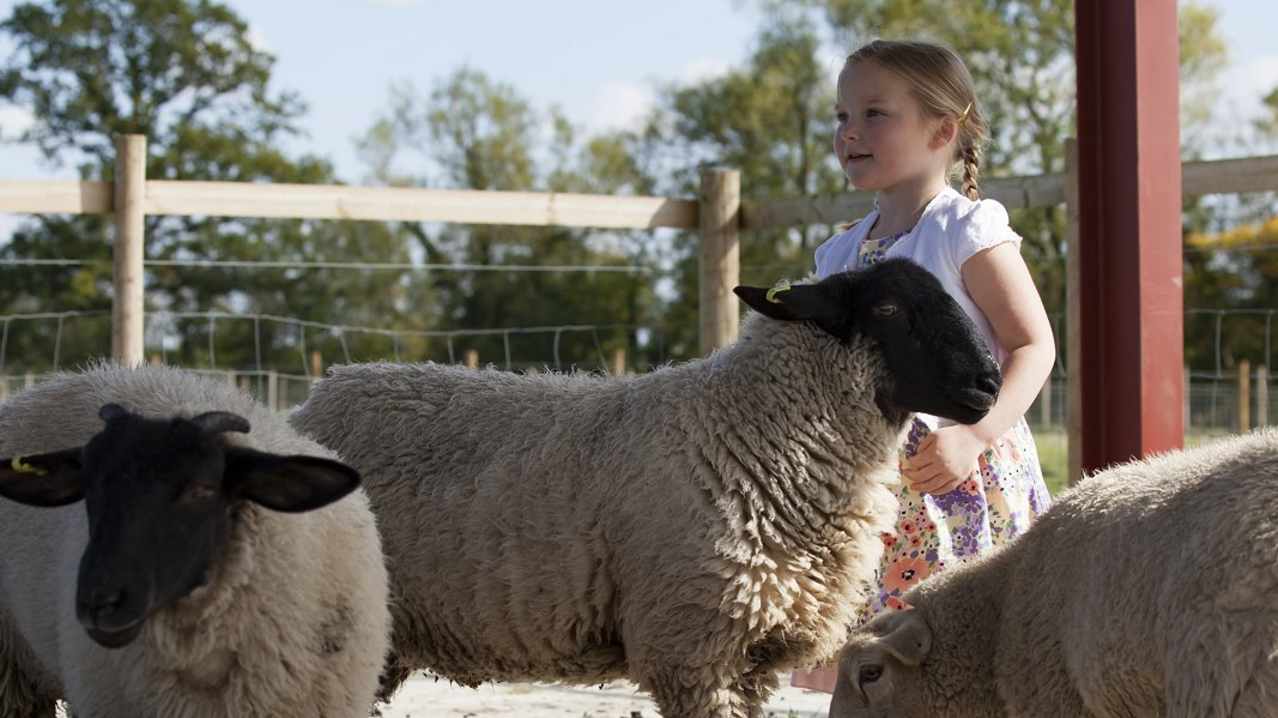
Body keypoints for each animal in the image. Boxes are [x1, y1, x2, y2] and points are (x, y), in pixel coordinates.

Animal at [290, 258, 1003, 718]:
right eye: (887, 308)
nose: (990, 383)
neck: (751, 428)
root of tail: (312, 401)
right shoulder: (693, 648)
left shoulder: (751, 656)